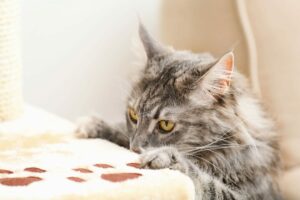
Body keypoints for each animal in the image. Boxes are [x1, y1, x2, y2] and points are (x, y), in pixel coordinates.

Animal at [76, 24, 282, 199]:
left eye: (166, 125)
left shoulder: (251, 194)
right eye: (133, 116)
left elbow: (207, 183)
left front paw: (166, 158)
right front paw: (92, 125)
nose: (135, 148)